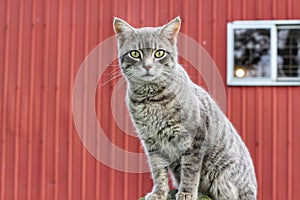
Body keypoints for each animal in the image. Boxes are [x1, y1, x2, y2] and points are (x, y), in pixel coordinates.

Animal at [113, 17, 256, 200]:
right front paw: (159, 192)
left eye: (159, 53)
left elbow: (190, 170)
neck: (151, 99)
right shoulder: (151, 141)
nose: (147, 66)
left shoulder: (195, 138)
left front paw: (186, 193)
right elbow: (158, 170)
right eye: (135, 54)